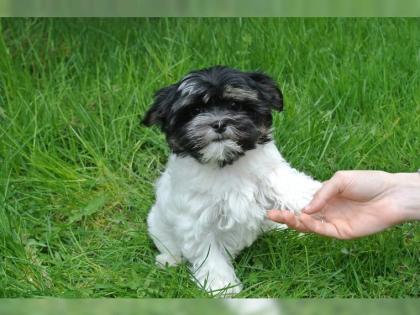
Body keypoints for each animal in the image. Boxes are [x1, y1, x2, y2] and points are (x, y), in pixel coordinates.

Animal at [143, 66, 320, 296]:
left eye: (235, 105)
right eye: (194, 111)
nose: (218, 123)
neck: (226, 163)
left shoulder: (270, 172)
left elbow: (286, 185)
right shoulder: (196, 221)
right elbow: (209, 254)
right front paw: (221, 286)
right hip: (157, 223)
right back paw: (168, 260)